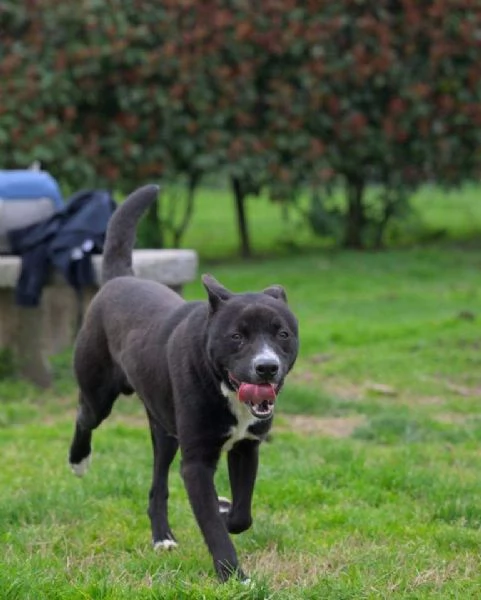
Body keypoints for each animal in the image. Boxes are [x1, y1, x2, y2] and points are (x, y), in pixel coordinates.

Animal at [69, 186, 298, 580]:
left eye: (282, 334)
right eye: (237, 336)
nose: (266, 367)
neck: (222, 385)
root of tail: (118, 279)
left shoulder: (246, 448)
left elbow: (241, 515)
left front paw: (225, 509)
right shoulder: (196, 463)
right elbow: (213, 527)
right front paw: (234, 576)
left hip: (165, 430)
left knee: (157, 486)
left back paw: (162, 536)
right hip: (98, 391)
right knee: (85, 416)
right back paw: (79, 461)